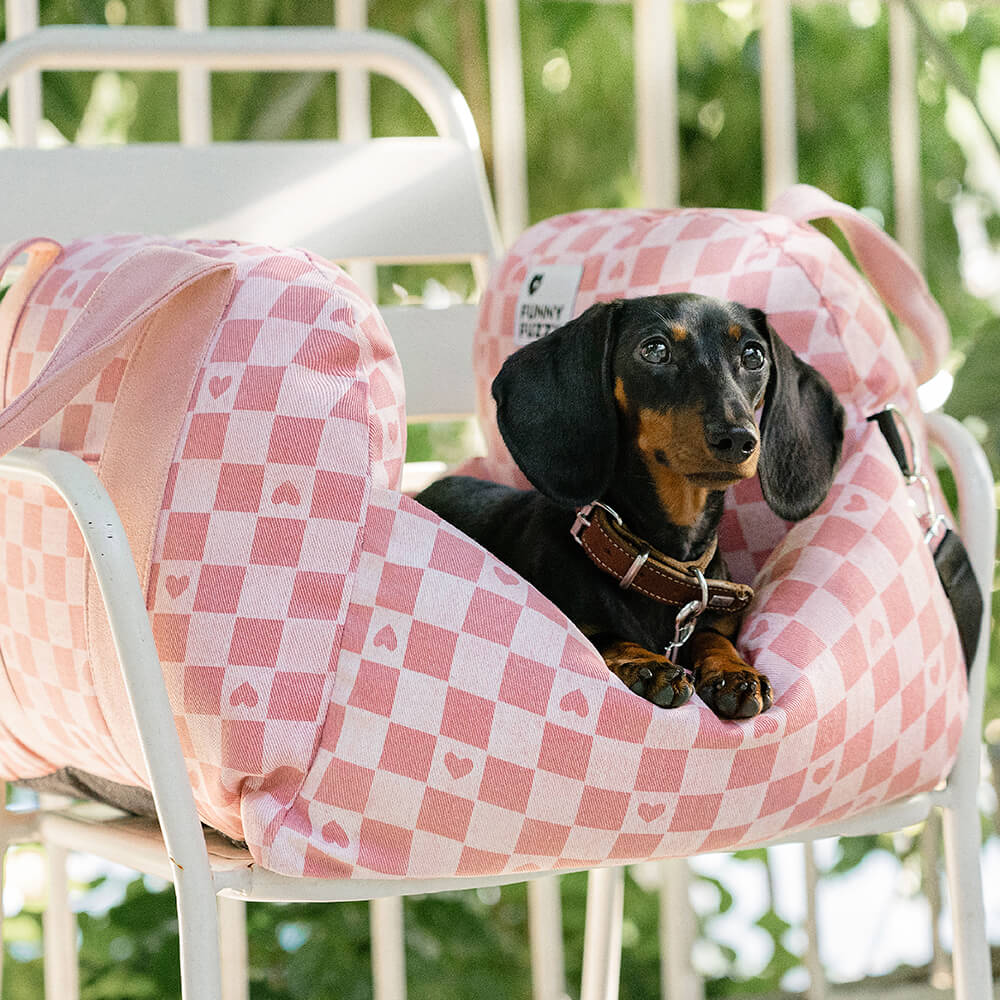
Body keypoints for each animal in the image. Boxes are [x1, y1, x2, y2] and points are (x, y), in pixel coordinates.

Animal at [414, 292, 844, 720]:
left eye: (754, 355)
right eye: (655, 349)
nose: (738, 438)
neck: (659, 564)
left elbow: (712, 636)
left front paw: (734, 671)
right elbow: (602, 636)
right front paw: (646, 662)